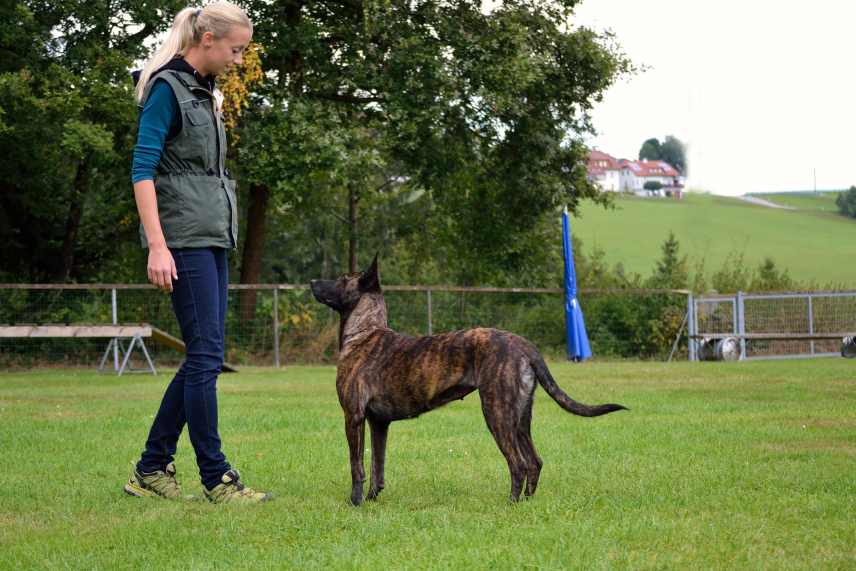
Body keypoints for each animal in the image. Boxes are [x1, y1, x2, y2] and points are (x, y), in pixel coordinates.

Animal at [310, 255, 624, 504]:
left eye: (341, 279)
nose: (312, 281)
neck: (365, 332)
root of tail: (524, 345)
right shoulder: (379, 423)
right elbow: (378, 466)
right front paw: (373, 498)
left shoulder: (353, 416)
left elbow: (357, 465)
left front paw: (355, 502)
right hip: (520, 418)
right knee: (534, 462)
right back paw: (526, 502)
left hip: (496, 413)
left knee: (518, 463)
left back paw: (511, 503)